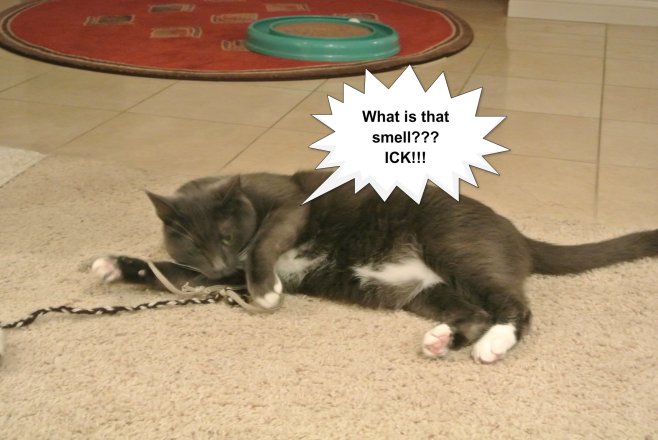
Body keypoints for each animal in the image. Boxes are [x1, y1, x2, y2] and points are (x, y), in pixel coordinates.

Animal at [92, 171, 658, 363]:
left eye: (228, 236)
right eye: (196, 246)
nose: (219, 261)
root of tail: (515, 233)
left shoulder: (290, 203)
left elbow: (267, 243)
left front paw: (267, 289)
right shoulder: (215, 277)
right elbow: (169, 272)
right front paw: (113, 266)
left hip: (451, 244)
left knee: (514, 305)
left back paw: (494, 344)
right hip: (424, 291)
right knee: (472, 313)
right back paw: (442, 341)